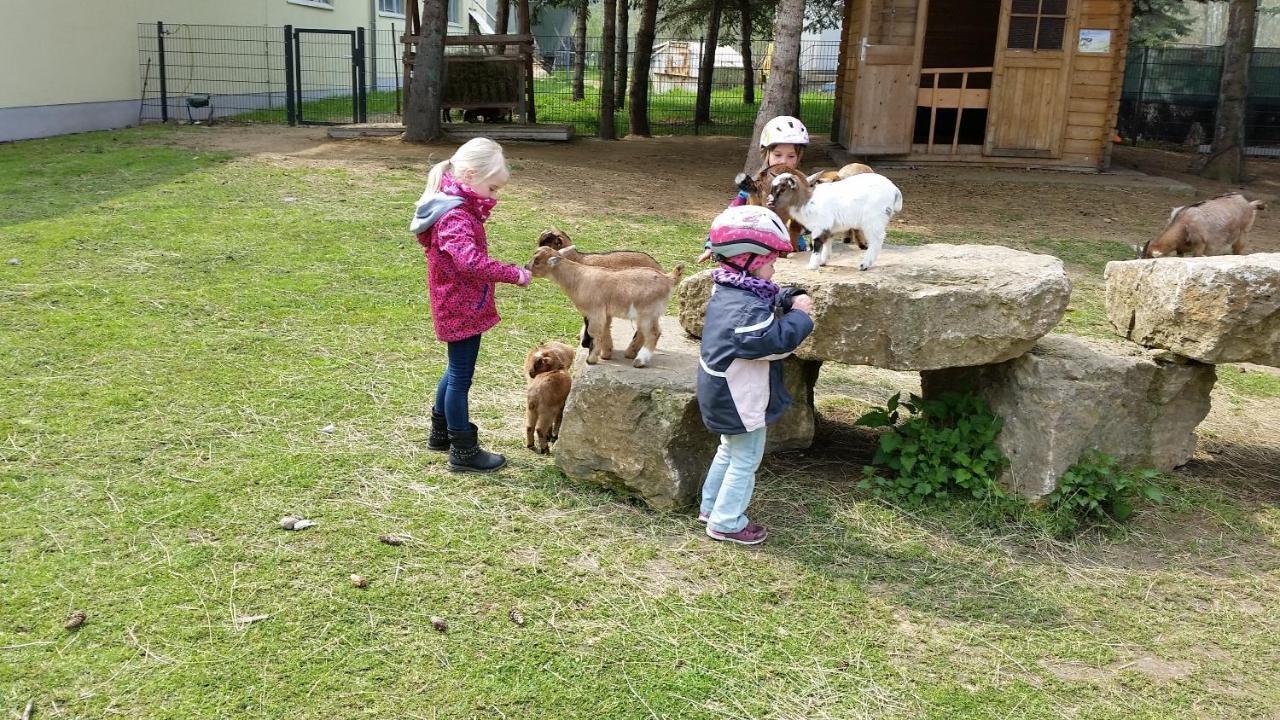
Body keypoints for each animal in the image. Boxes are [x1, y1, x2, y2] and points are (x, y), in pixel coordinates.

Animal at [524, 245, 686, 368]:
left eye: (537, 261)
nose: (526, 266)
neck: (577, 278)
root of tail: (669, 278)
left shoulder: (594, 311)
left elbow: (594, 332)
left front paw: (591, 360)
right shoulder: (605, 313)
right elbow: (605, 330)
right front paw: (606, 354)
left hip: (647, 313)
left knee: (653, 333)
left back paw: (639, 361)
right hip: (651, 314)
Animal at [1141, 192, 1269, 256]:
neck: (1184, 223)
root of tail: (1249, 204)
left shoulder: (1199, 246)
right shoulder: (1180, 249)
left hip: (1243, 233)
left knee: (1238, 249)